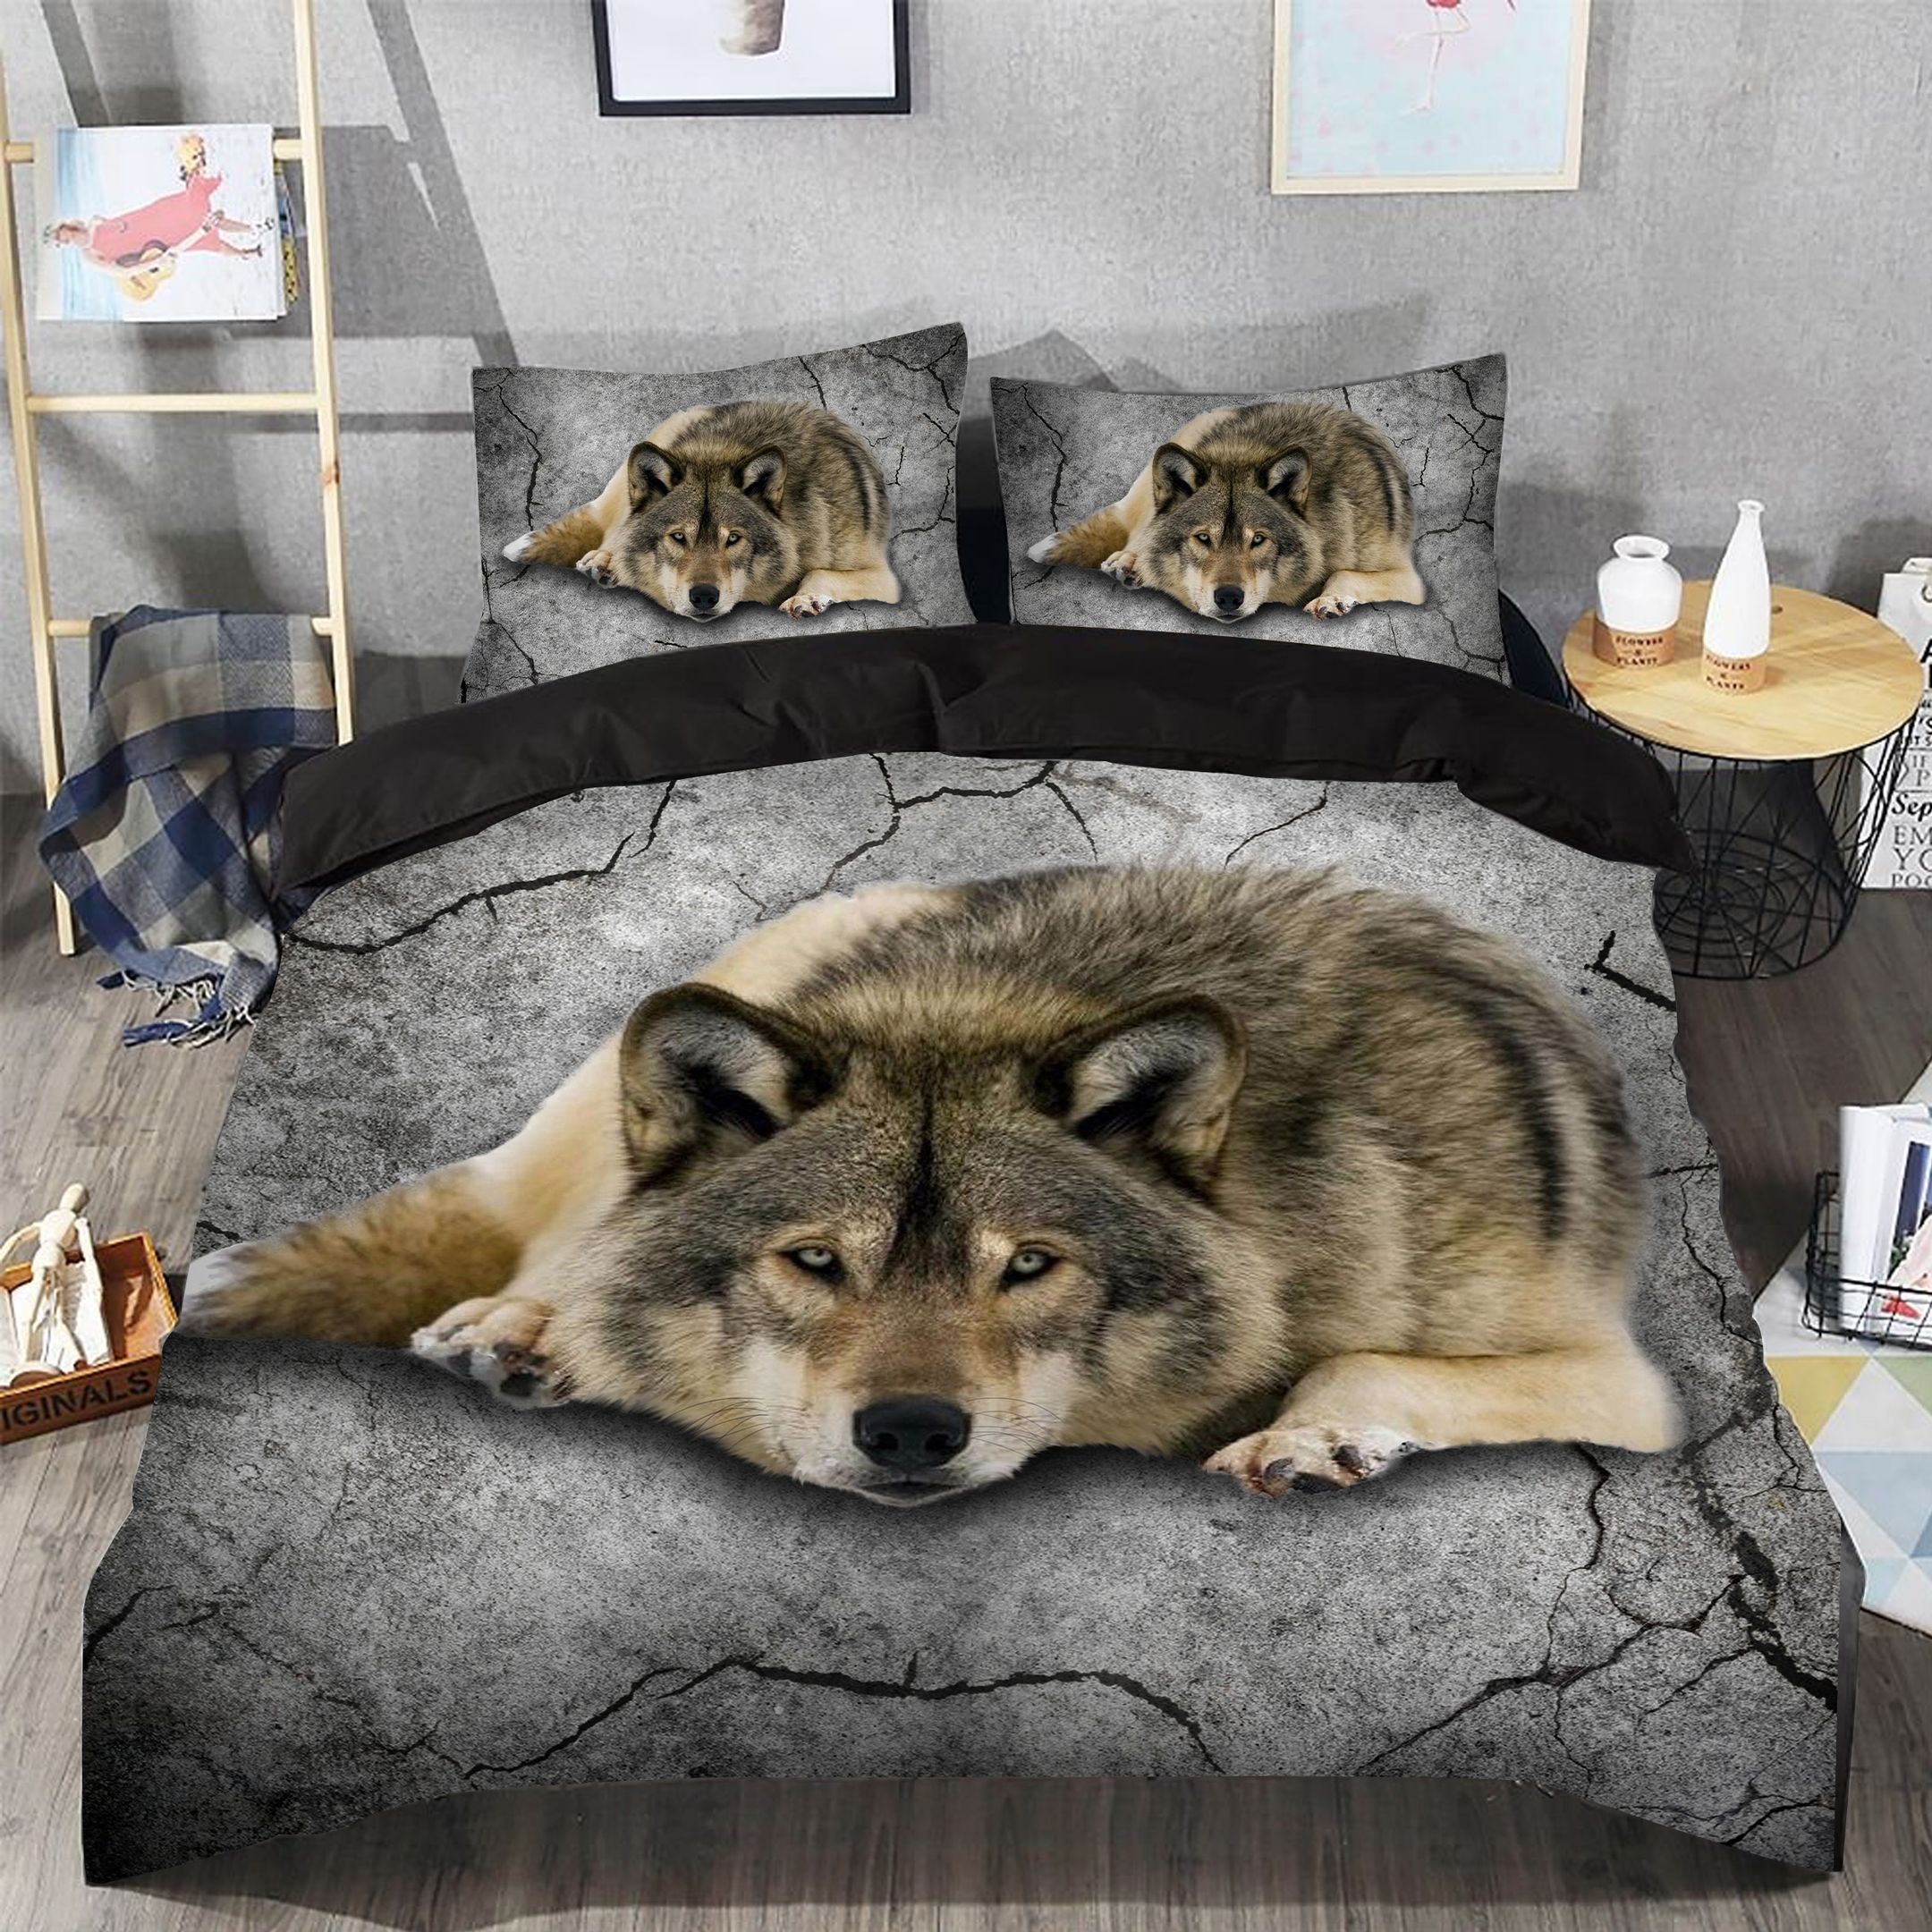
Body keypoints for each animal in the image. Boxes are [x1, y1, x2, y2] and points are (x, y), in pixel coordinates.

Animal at [181, 866, 1681, 1507]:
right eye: (814, 1262)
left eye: (1028, 1266)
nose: (909, 1432)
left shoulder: (1629, 1389)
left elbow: (1360, 1360)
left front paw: (1313, 1435)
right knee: (561, 1248)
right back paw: (525, 1330)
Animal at [503, 400, 898, 622]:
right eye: (679, 537)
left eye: (734, 539)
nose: (704, 596)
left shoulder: (885, 580)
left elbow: (818, 572)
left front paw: (805, 597)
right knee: (615, 529)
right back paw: (605, 561)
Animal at [1028, 402, 1425, 622]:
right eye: (1204, 538)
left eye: (1259, 540)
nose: (1229, 598)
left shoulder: (1410, 580)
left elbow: (1342, 573)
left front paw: (1330, 598)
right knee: (1140, 531)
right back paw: (1130, 562)